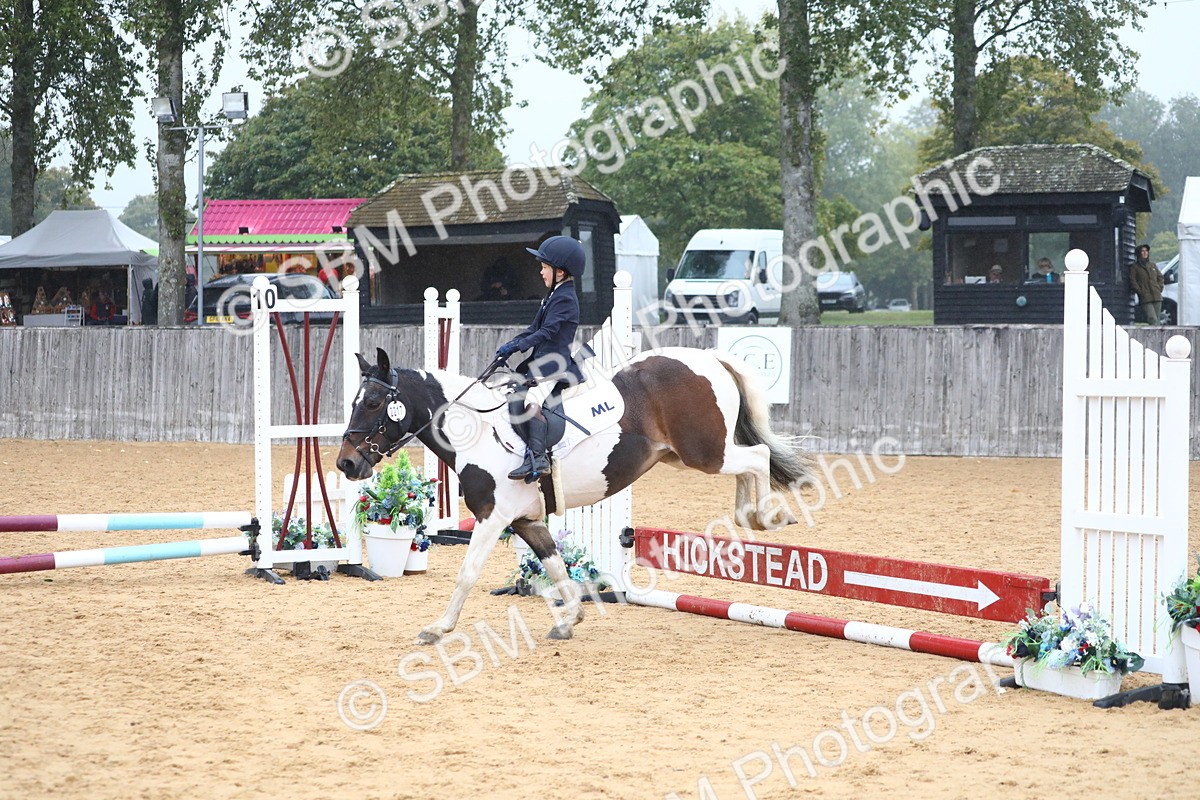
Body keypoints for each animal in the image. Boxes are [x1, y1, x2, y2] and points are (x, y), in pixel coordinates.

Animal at [337, 346, 808, 645]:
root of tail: (708, 356)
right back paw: (749, 514)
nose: (346, 465)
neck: (478, 431)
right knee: (748, 463)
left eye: (374, 402)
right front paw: (568, 621)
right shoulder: (526, 520)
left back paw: (766, 516)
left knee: (758, 456)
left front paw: (437, 628)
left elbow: (466, 574)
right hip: (686, 455)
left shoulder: (493, 516)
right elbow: (557, 567)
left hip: (704, 452)